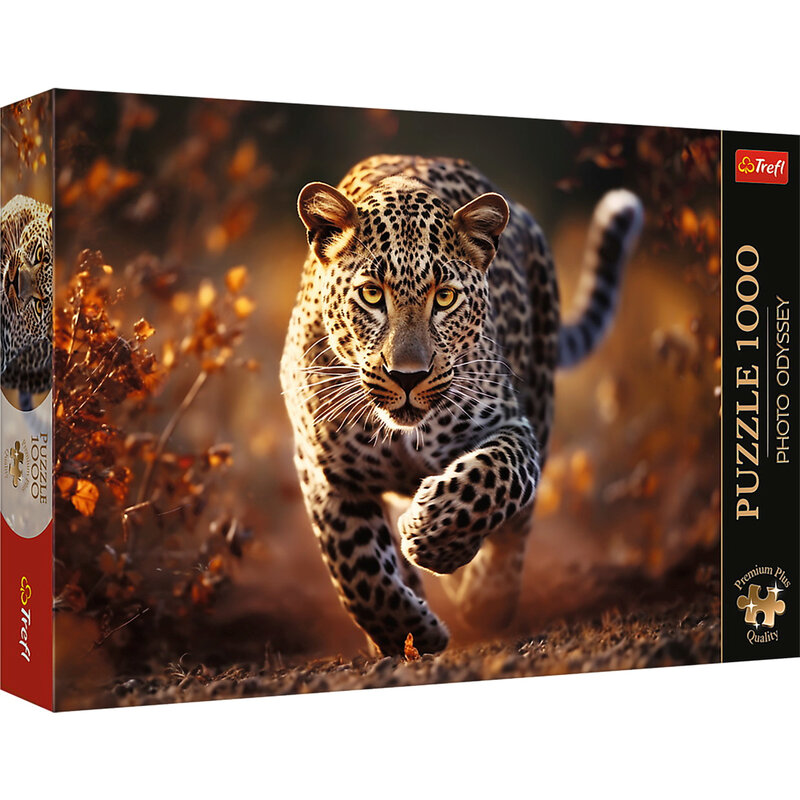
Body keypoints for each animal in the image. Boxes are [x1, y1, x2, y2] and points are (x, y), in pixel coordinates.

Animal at [280, 154, 642, 656]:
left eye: (445, 297)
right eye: (371, 294)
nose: (407, 376)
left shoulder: (512, 426)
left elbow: (494, 478)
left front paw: (432, 535)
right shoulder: (325, 471)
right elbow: (357, 568)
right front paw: (409, 633)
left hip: (542, 396)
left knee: (517, 527)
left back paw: (487, 598)